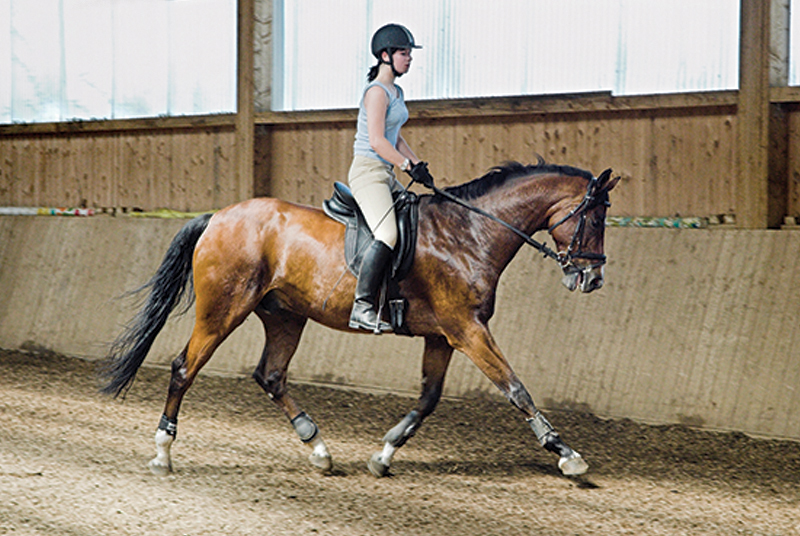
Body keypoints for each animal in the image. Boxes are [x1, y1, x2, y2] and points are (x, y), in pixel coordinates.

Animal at [100, 160, 619, 478]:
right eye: (595, 219)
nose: (593, 278)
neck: (470, 232)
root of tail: (217, 217)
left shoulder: (444, 336)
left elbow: (428, 399)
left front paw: (384, 454)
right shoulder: (467, 329)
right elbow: (515, 388)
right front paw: (567, 455)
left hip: (285, 316)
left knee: (271, 375)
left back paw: (319, 449)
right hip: (223, 309)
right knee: (184, 369)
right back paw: (163, 452)